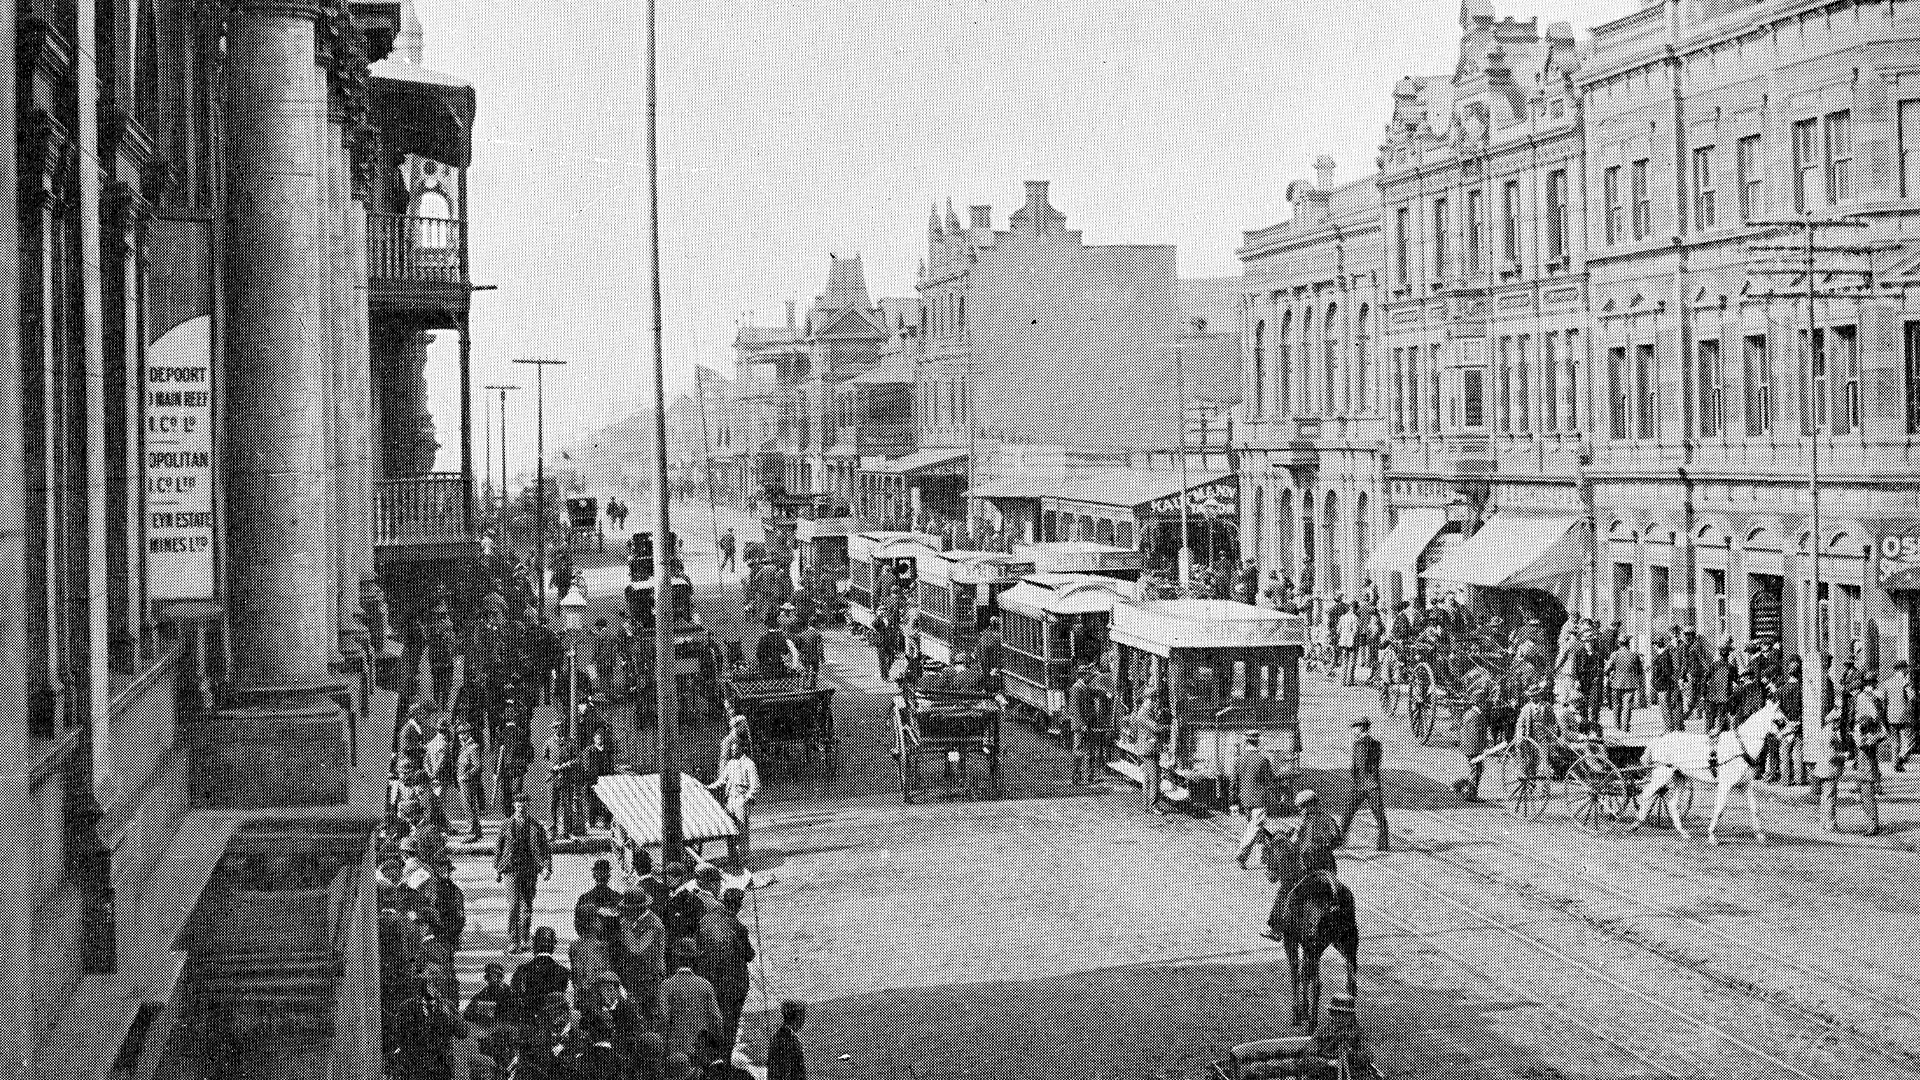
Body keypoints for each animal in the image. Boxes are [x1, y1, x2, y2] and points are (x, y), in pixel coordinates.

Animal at [1259, 841, 1367, 1022]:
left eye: (1267, 849)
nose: (1269, 873)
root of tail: (1334, 896)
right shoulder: (1306, 944)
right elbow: (1304, 973)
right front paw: (1304, 1008)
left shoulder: (1291, 939)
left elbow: (1296, 971)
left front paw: (1298, 1012)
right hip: (1345, 941)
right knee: (1351, 983)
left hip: (1315, 945)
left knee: (1317, 983)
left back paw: (1312, 1022)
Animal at [1628, 699, 1789, 841]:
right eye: (1780, 721)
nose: (1792, 736)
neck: (1741, 746)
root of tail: (1660, 739)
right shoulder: (1725, 784)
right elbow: (1720, 808)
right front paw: (1712, 835)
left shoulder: (1746, 785)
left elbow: (1753, 808)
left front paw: (1760, 835)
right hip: (1661, 774)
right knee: (1646, 794)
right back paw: (1637, 823)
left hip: (1679, 777)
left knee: (1672, 804)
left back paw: (1682, 832)